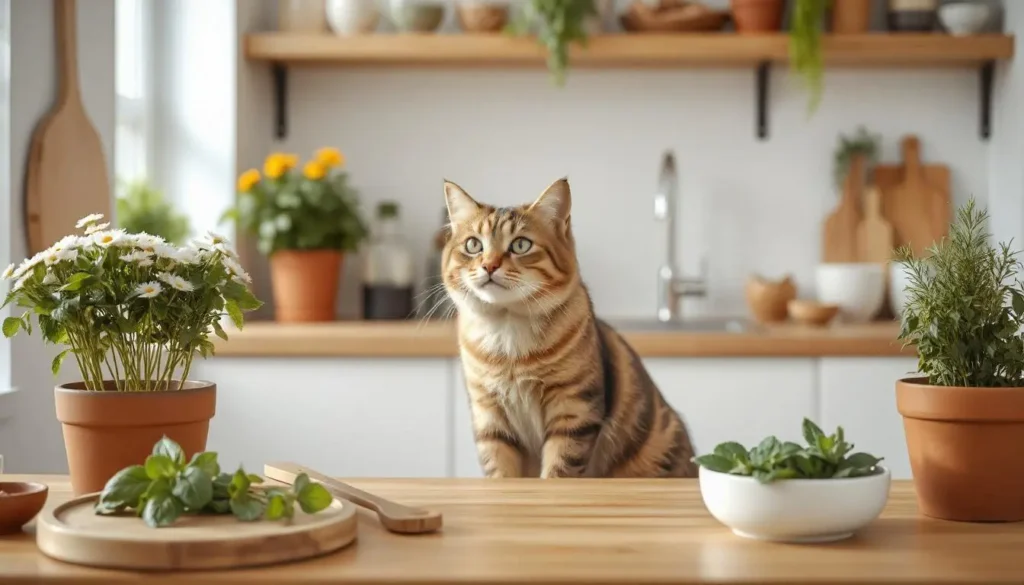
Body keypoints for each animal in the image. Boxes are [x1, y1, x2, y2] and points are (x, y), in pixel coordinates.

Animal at [440, 178, 696, 481]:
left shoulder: (574, 408)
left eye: (521, 245)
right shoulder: (489, 414)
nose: (489, 265)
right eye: (473, 245)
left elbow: (559, 470)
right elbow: (500, 471)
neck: (508, 339)